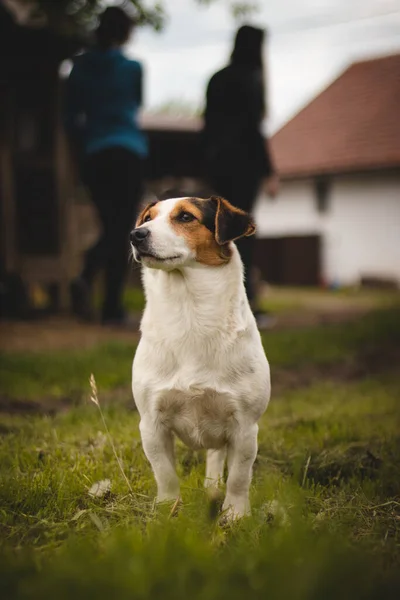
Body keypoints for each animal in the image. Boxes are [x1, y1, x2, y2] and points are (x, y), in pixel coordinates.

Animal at [131, 195, 272, 516]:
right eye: (148, 218)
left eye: (185, 217)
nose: (135, 235)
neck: (189, 313)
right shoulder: (151, 424)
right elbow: (165, 474)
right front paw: (168, 509)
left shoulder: (245, 427)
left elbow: (239, 477)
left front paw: (234, 514)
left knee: (218, 457)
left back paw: (213, 488)